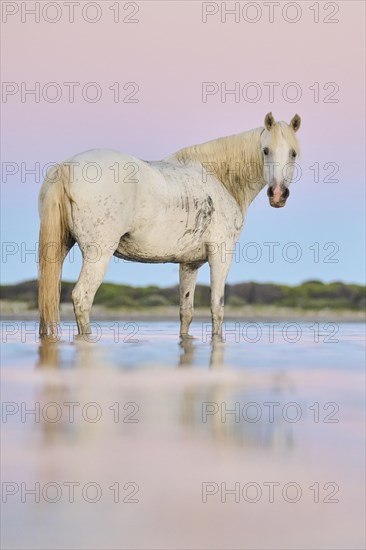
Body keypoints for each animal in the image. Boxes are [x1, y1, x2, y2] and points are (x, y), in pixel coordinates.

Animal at [38, 113, 300, 338]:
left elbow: (186, 312)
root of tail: (67, 167)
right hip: (98, 254)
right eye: (265, 150)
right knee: (82, 298)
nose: (278, 194)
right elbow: (217, 308)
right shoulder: (221, 254)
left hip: (59, 250)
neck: (219, 179)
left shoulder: (189, 264)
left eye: (293, 153)